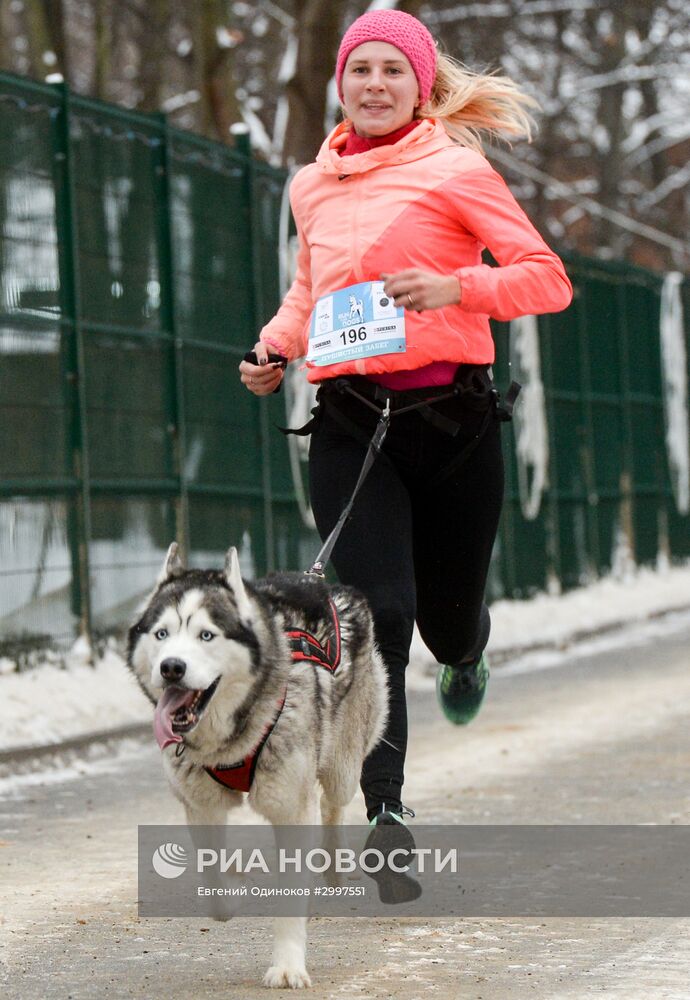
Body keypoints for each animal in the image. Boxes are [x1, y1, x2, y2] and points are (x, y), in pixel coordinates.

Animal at [126, 548, 384, 992]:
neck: (231, 740)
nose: (172, 667)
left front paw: (288, 966)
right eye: (161, 634)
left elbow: (290, 896)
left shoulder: (291, 809)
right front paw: (228, 896)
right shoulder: (201, 805)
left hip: (343, 768)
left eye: (206, 635)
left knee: (331, 805)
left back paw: (332, 870)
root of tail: (325, 582)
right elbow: (211, 870)